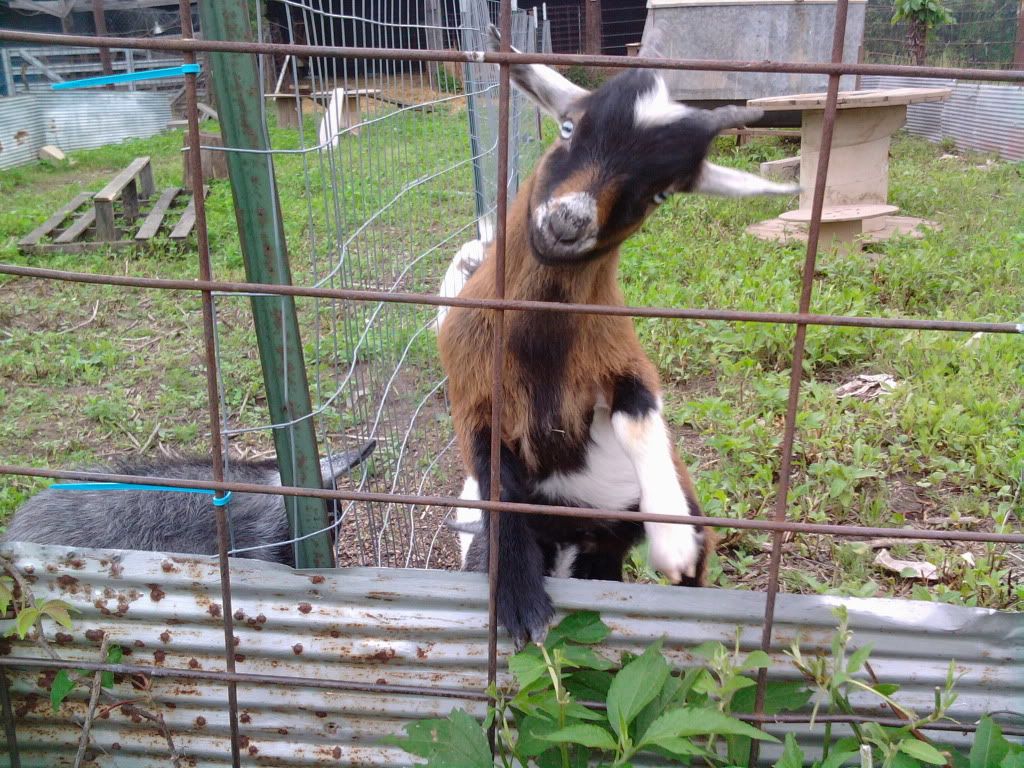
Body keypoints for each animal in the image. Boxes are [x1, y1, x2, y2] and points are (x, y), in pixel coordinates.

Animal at [436, 27, 797, 646]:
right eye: (568, 128)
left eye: (661, 193)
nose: (568, 223)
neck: (541, 352)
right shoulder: (474, 390)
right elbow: (497, 487)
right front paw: (521, 605)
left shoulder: (619, 353)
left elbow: (640, 410)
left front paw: (672, 538)